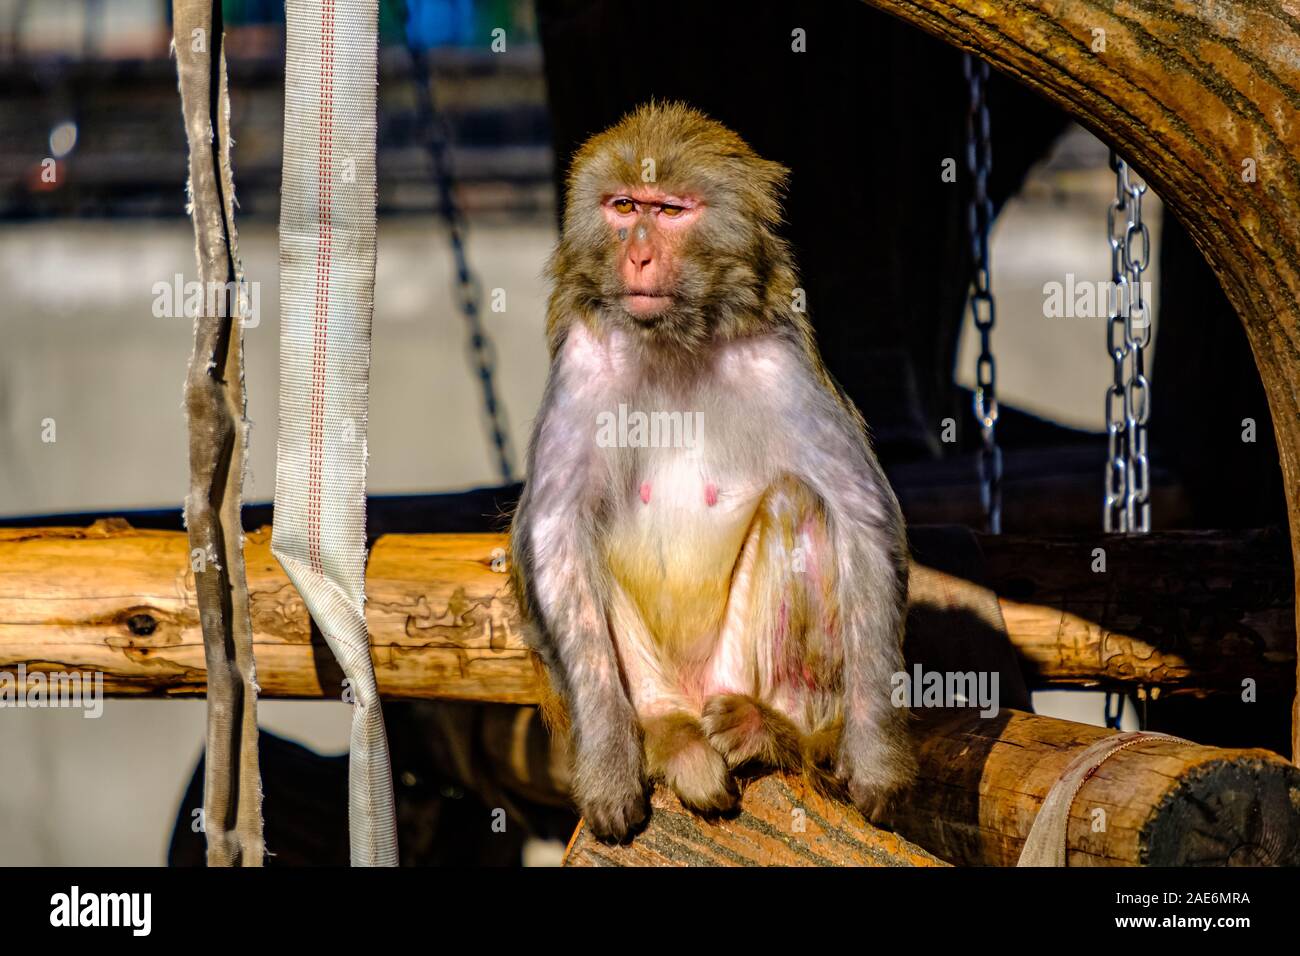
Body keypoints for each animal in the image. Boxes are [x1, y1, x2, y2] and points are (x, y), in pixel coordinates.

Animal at [506, 100, 915, 842]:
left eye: (670, 211)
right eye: (624, 206)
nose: (637, 253)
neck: (673, 342)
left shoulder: (778, 360)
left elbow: (861, 513)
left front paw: (874, 762)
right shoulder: (584, 359)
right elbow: (552, 533)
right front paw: (608, 770)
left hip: (734, 669)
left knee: (798, 502)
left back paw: (769, 729)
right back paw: (669, 738)